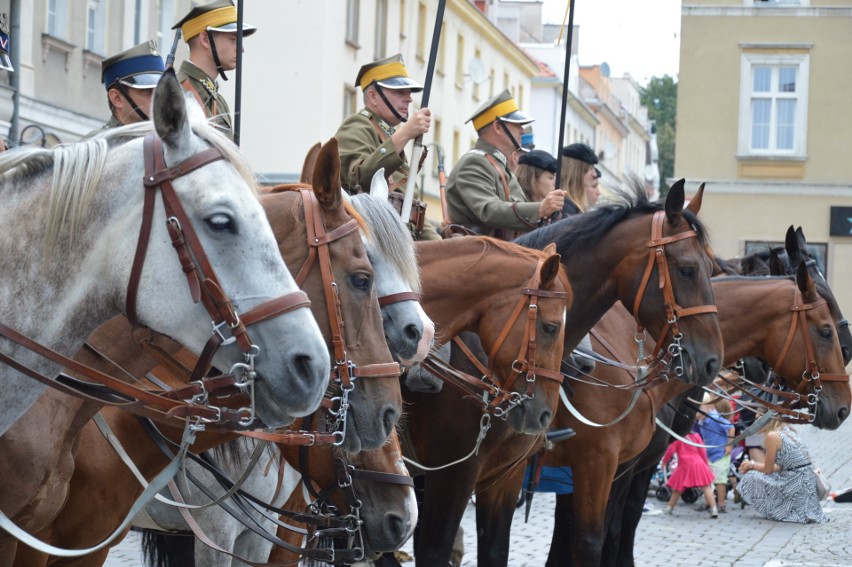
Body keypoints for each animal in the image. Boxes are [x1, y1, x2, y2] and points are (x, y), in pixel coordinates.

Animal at [544, 266, 852, 567]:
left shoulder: (625, 467)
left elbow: (612, 521)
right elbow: (604, 528)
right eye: (826, 332)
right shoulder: (605, 466)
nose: (843, 407)